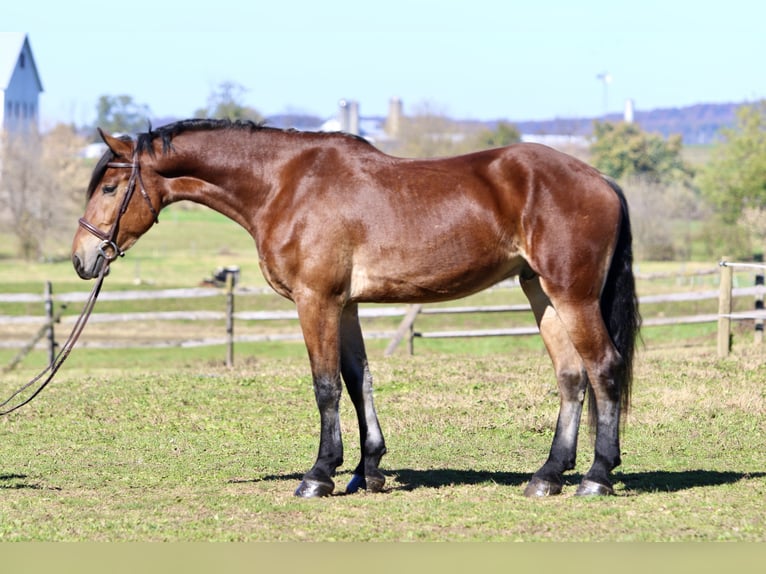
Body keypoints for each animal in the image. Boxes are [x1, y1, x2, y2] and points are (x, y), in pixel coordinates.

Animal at [72, 119, 640, 498]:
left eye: (110, 186)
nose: (83, 258)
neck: (284, 184)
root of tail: (603, 181)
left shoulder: (316, 301)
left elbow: (325, 385)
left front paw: (319, 474)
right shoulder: (345, 307)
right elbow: (356, 378)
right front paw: (367, 471)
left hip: (572, 294)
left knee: (603, 368)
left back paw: (596, 477)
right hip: (540, 291)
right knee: (571, 376)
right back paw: (548, 476)